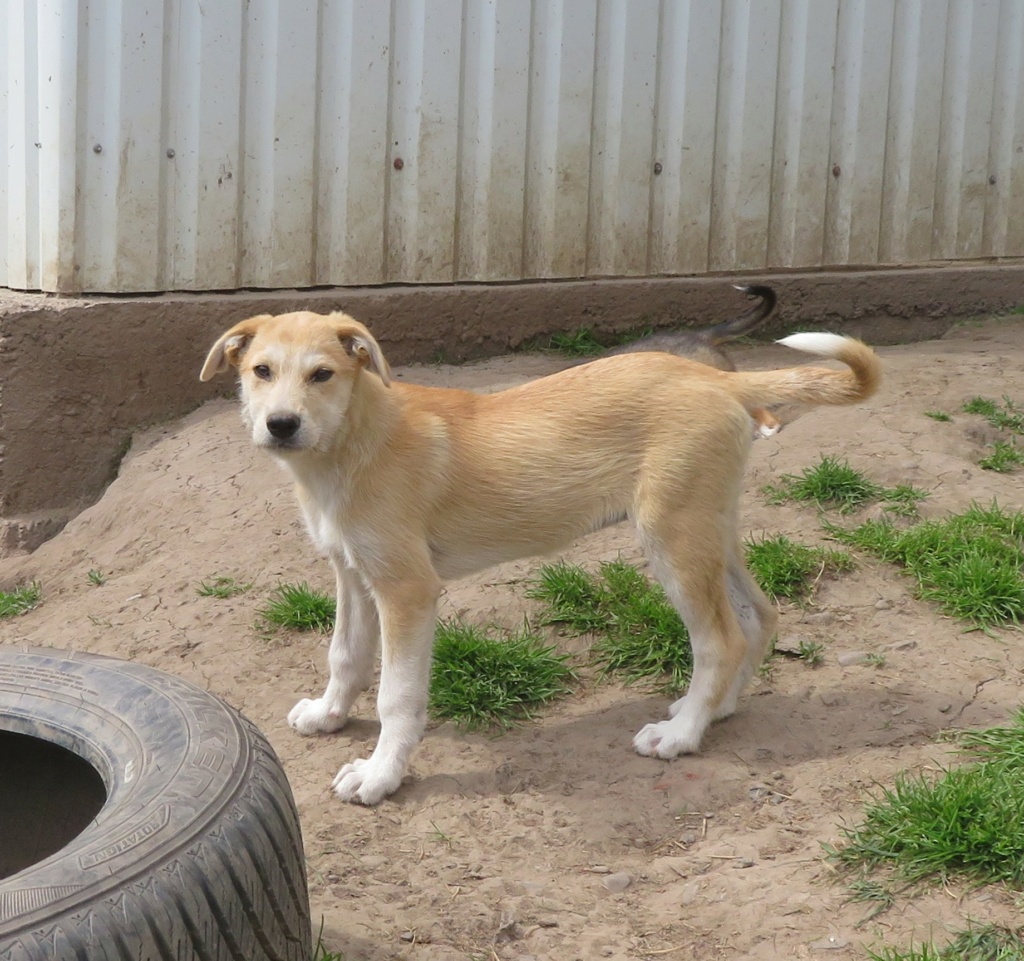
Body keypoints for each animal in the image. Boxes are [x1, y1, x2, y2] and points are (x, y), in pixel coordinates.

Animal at [199, 309, 880, 803]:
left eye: (322, 375)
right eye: (261, 371)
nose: (281, 425)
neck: (352, 444)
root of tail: (719, 377)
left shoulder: (407, 590)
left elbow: (397, 696)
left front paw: (380, 776)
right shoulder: (353, 573)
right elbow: (343, 654)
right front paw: (328, 715)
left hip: (673, 539)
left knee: (720, 638)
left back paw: (683, 736)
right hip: (710, 527)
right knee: (759, 615)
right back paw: (713, 710)